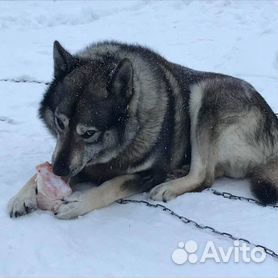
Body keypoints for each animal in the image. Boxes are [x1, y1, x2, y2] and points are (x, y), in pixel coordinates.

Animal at [8, 40, 278, 219]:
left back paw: (170, 185)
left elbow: (112, 185)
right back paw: (178, 172)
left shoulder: (148, 173)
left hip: (206, 95)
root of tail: (273, 124)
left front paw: (79, 202)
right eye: (59, 122)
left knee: (204, 175)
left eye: (89, 133)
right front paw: (23, 195)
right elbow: (39, 173)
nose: (59, 170)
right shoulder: (79, 161)